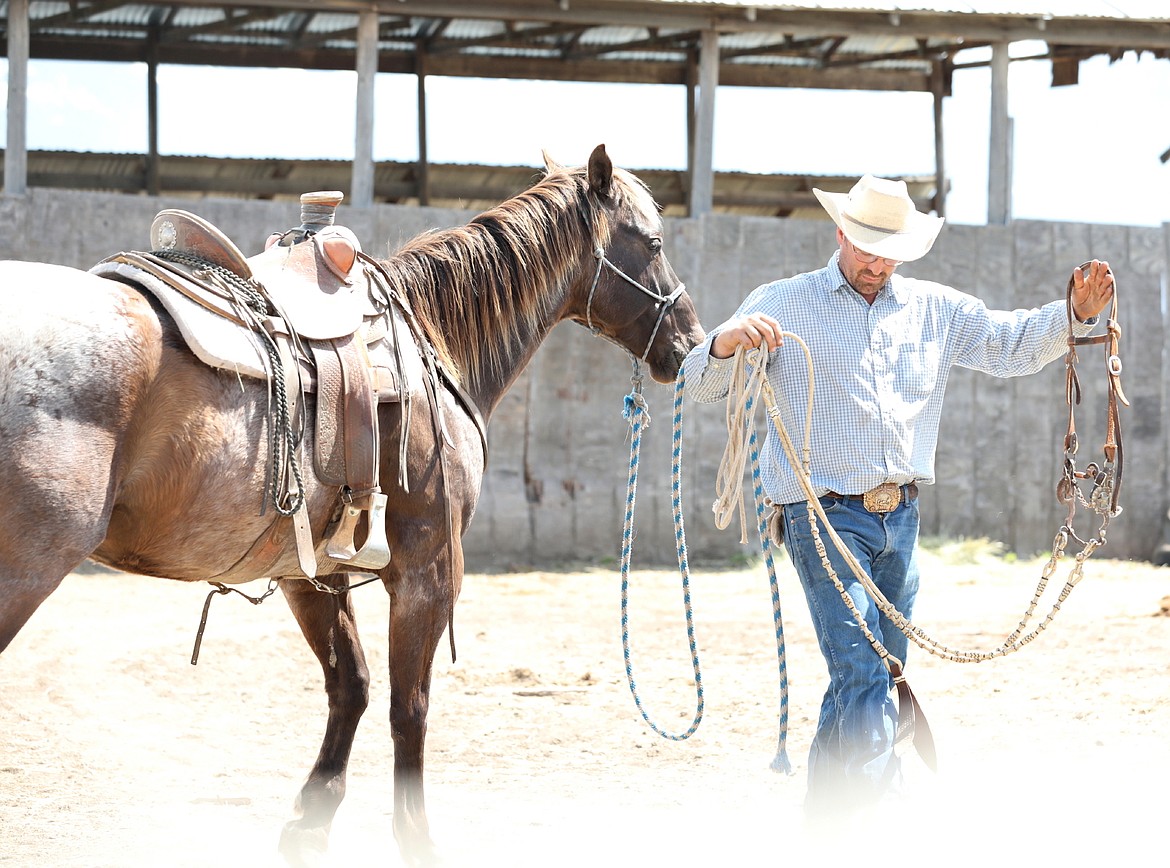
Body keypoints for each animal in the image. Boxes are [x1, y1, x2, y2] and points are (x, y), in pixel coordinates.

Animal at [0, 146, 702, 865]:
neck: (431, 345)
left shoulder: (311, 574)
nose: (688, 339)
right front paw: (416, 836)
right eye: (652, 241)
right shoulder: (428, 570)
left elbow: (352, 685)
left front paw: (312, 820)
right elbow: (408, 705)